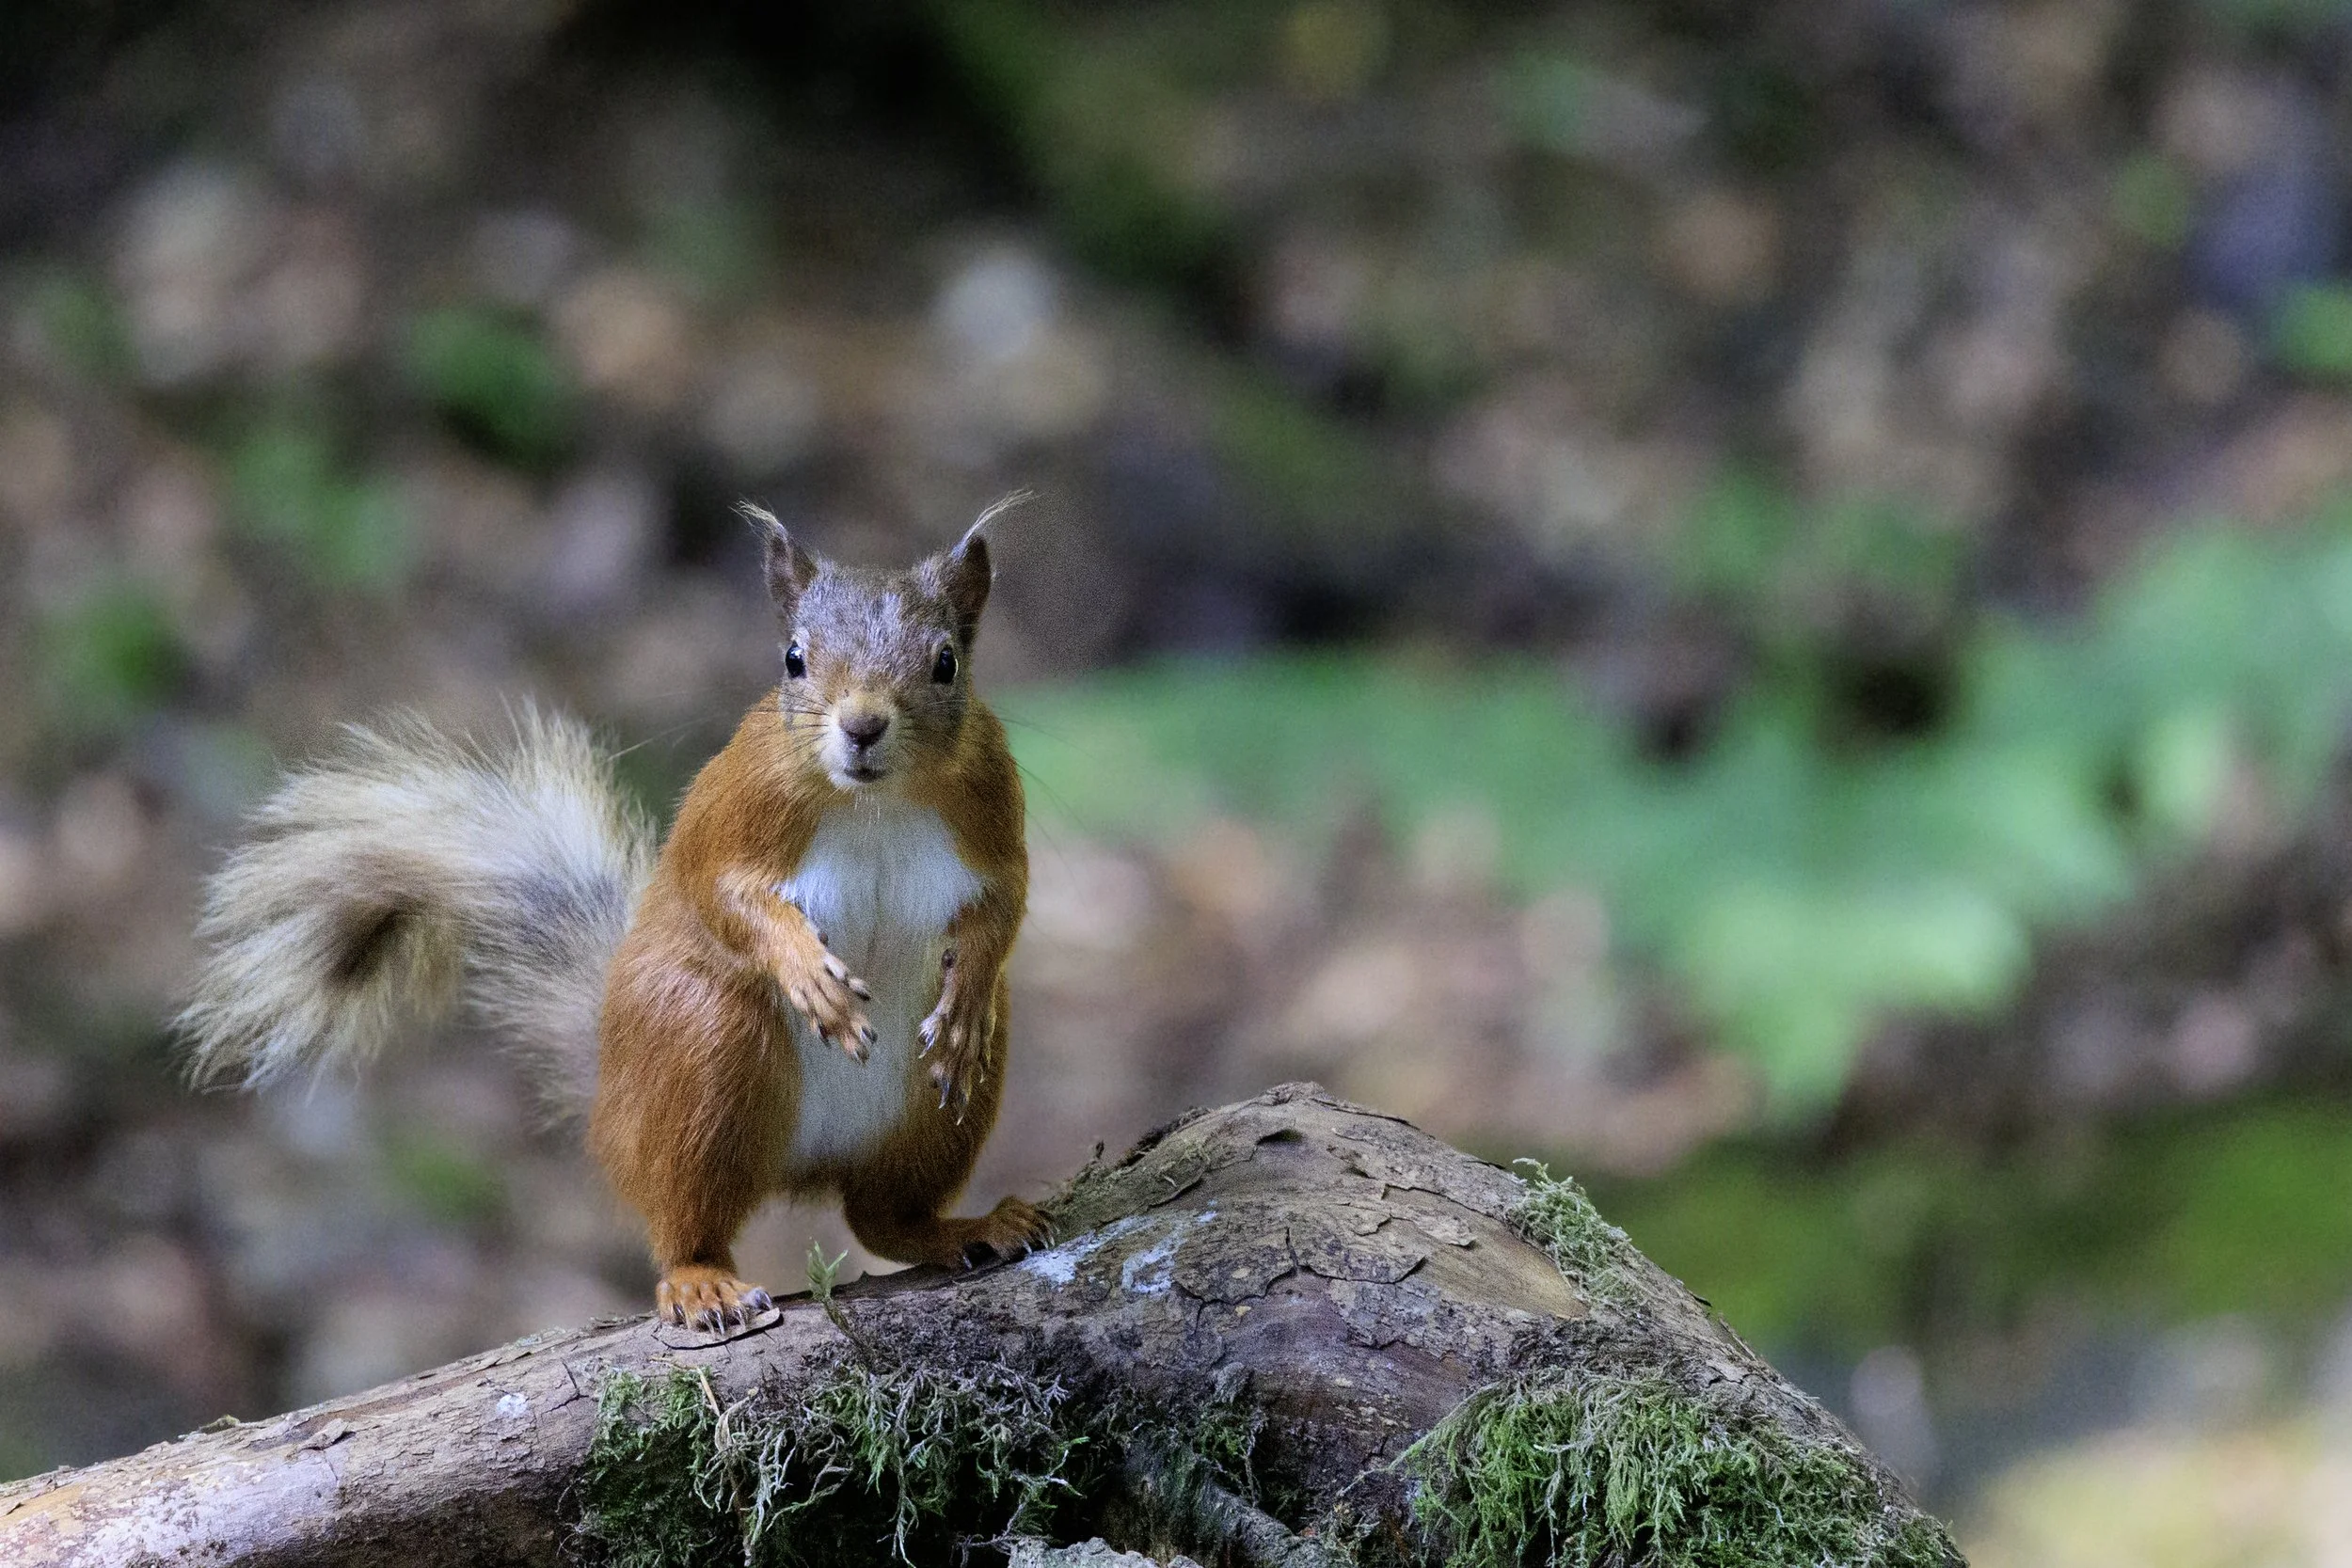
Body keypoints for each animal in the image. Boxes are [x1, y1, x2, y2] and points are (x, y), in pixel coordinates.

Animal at [178, 498, 1047, 1331]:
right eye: (793, 658)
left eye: (946, 661)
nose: (862, 725)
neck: (874, 800)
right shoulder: (735, 808)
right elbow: (723, 898)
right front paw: (809, 975)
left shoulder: (992, 805)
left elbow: (1006, 904)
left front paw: (966, 992)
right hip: (702, 1050)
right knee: (683, 1219)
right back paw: (702, 1283)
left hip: (934, 1117)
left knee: (882, 1216)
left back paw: (965, 1224)